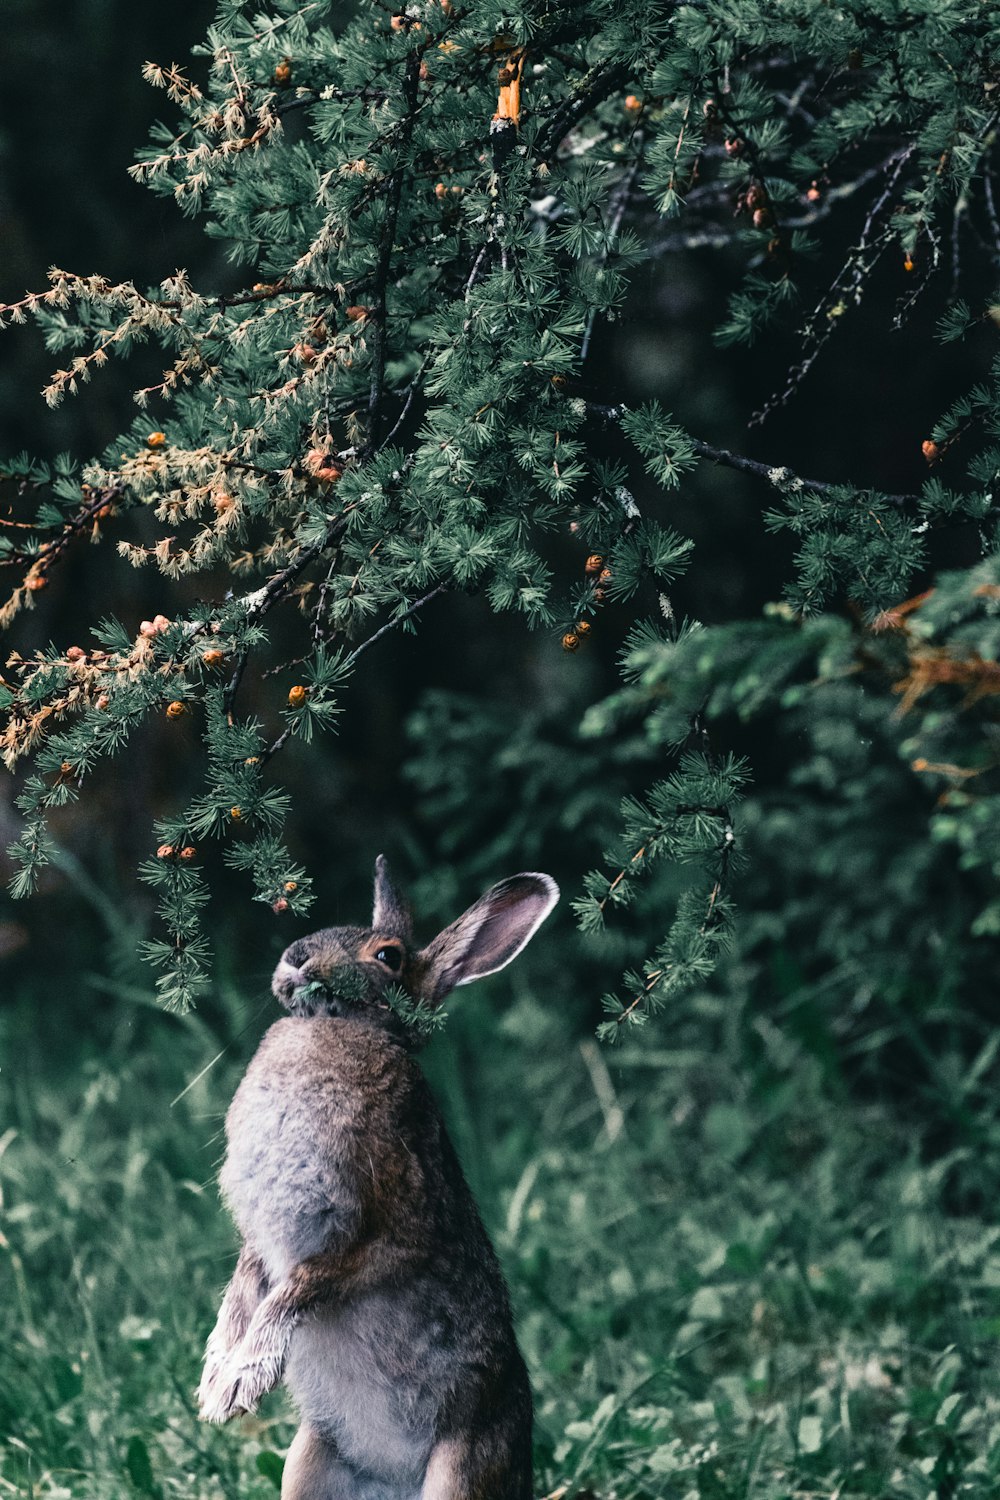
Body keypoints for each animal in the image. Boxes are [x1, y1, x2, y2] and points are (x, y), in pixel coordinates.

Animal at [193, 858, 554, 1500]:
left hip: (460, 1469)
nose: (295, 956)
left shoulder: (378, 1235)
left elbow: (296, 1289)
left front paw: (240, 1382)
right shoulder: (259, 1235)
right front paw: (214, 1378)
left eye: (387, 956)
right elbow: (241, 1290)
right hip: (308, 1461)